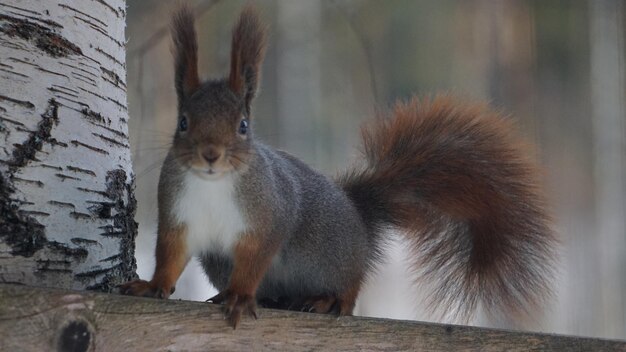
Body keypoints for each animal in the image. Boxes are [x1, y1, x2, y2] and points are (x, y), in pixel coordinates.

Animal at [118, 4, 556, 330]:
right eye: (183, 122)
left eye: (243, 125)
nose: (211, 154)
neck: (213, 184)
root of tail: (359, 221)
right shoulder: (177, 216)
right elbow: (170, 256)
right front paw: (152, 286)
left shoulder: (268, 219)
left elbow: (256, 259)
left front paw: (242, 297)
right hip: (219, 261)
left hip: (329, 255)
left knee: (350, 287)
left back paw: (328, 300)